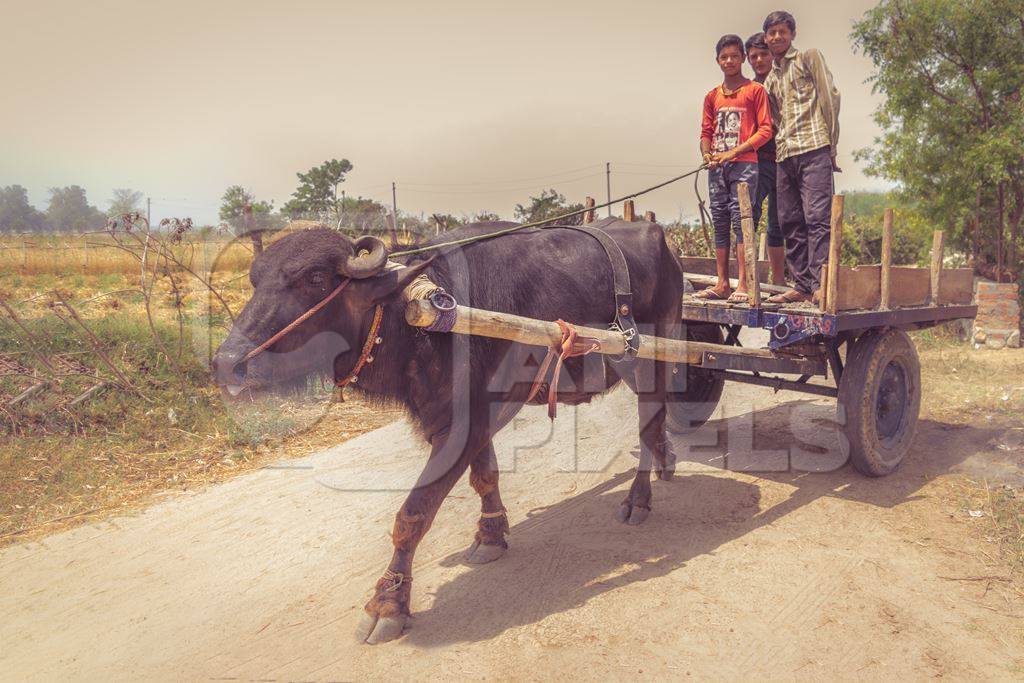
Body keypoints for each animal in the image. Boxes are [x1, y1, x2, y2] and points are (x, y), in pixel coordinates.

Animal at [210, 220, 684, 647]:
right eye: (255, 280)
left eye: (314, 279)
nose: (227, 364)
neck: (416, 317)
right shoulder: (473, 416)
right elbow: (485, 476)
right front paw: (491, 535)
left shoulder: (459, 428)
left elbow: (412, 515)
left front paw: (388, 604)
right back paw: (667, 461)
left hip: (654, 359)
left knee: (648, 422)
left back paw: (639, 498)